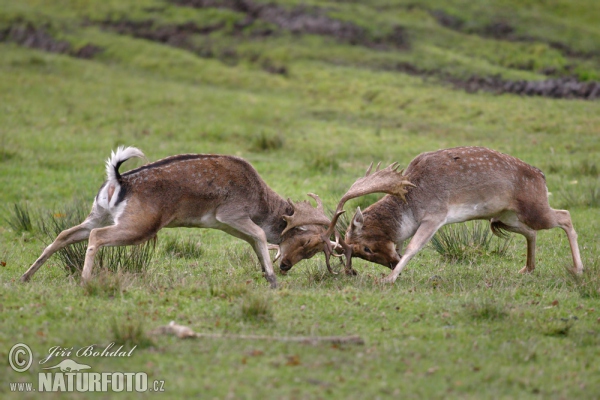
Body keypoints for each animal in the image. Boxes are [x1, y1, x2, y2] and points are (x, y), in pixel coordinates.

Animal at [21, 147, 336, 288]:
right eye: (307, 244)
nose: (285, 267)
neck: (260, 203)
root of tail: (118, 180)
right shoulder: (230, 212)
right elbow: (258, 235)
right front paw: (271, 279)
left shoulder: (226, 224)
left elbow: (253, 241)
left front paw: (265, 272)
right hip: (141, 224)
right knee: (97, 237)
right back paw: (86, 280)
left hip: (98, 213)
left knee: (65, 233)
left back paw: (26, 275)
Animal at [316, 146, 584, 282]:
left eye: (367, 248)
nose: (391, 263)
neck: (412, 201)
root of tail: (541, 176)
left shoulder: (436, 214)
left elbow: (413, 246)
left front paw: (389, 278)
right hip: (504, 217)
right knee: (532, 232)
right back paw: (527, 269)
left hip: (535, 209)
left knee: (565, 215)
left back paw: (578, 269)